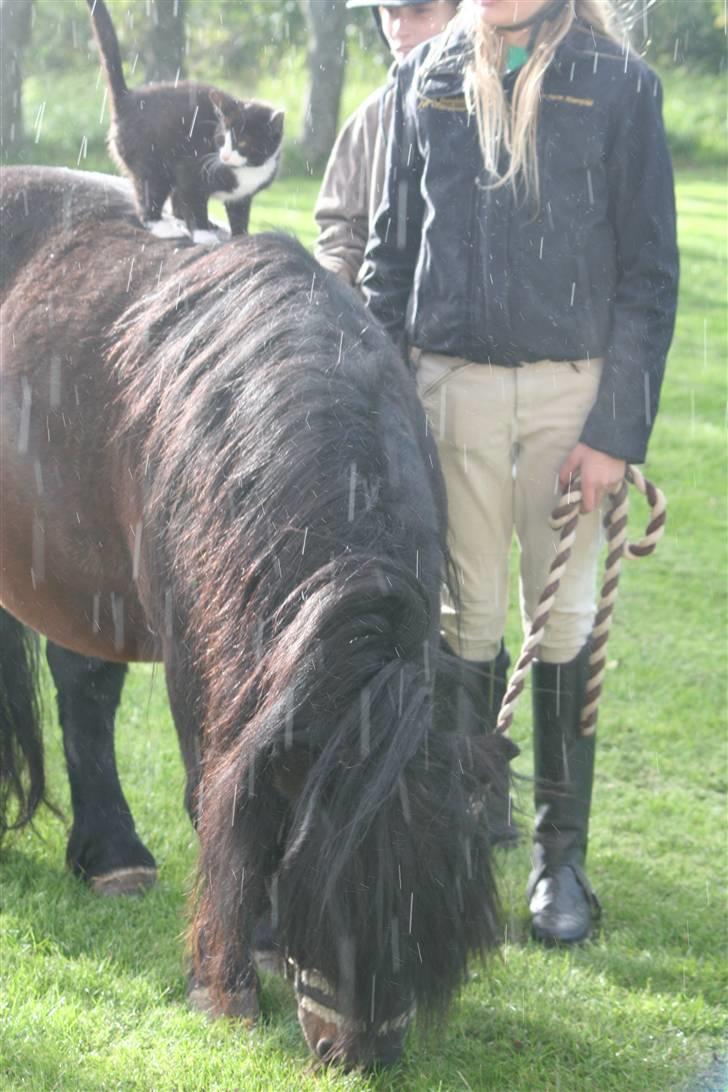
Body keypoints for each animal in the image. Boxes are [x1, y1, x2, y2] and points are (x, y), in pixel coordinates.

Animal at [0, 165, 515, 1068]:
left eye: (436, 886)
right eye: (334, 878)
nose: (360, 1053)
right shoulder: (193, 643)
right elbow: (218, 784)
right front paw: (227, 980)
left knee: (84, 685)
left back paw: (112, 856)